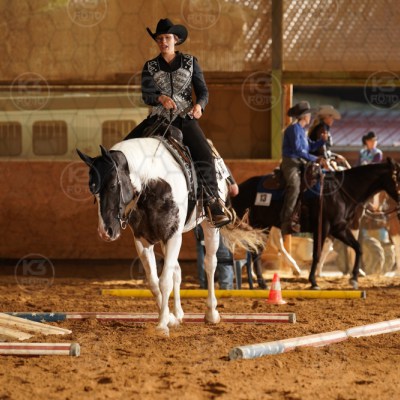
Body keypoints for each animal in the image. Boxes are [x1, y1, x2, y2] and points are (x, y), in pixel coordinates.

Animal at [77, 133, 265, 336]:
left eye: (112, 185)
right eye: (92, 189)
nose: (105, 231)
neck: (152, 182)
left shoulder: (173, 236)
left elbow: (164, 281)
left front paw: (161, 325)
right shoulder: (143, 241)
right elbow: (154, 282)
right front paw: (170, 319)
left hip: (209, 226)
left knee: (210, 264)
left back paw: (211, 313)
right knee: (177, 271)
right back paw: (179, 313)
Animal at [231, 159, 400, 290]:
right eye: (397, 177)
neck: (341, 192)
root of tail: (241, 188)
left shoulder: (339, 229)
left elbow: (358, 248)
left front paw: (354, 279)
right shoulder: (323, 227)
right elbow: (317, 253)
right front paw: (313, 281)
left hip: (263, 226)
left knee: (257, 250)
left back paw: (262, 282)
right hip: (256, 225)